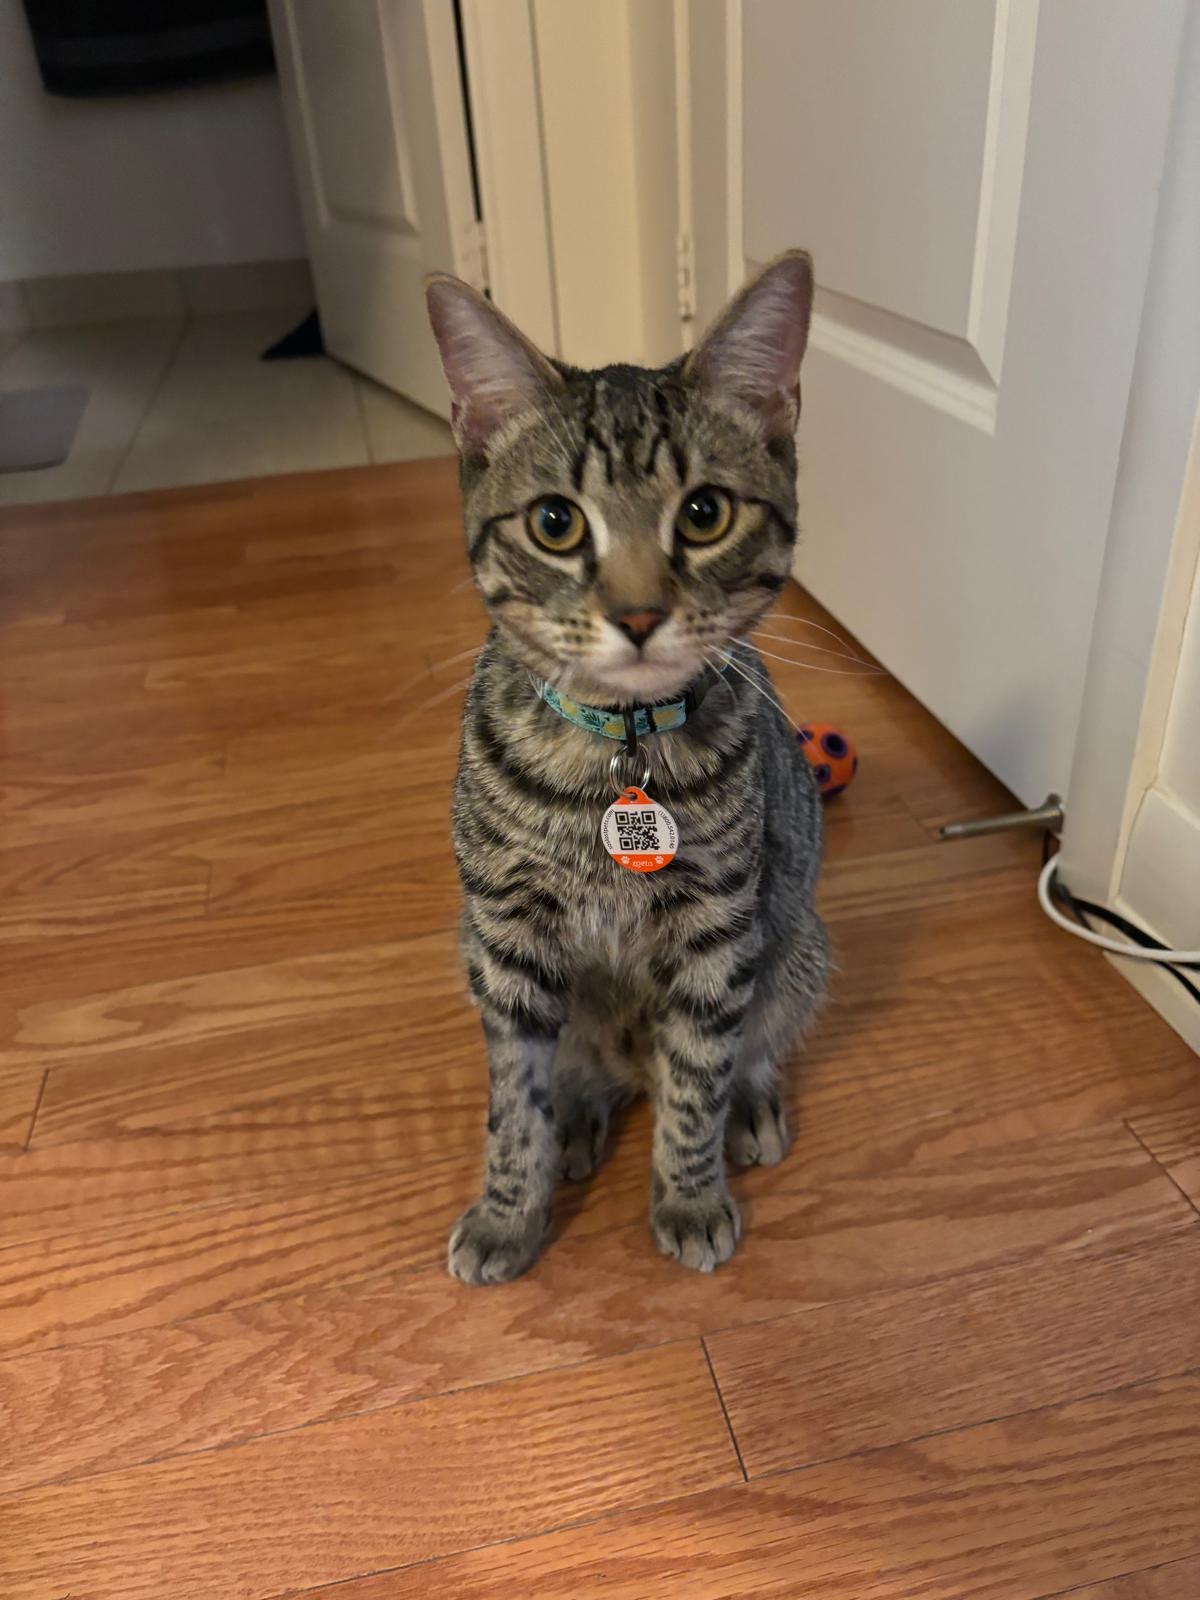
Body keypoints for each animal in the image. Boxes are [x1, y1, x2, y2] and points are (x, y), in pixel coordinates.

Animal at [425, 251, 828, 1283]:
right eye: (556, 523)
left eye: (705, 513)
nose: (640, 614)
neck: (615, 756)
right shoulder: (506, 940)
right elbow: (512, 1101)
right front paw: (508, 1210)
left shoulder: (718, 931)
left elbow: (697, 1081)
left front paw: (688, 1195)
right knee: (583, 1072)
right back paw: (577, 1118)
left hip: (797, 947)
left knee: (748, 1050)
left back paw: (749, 1109)